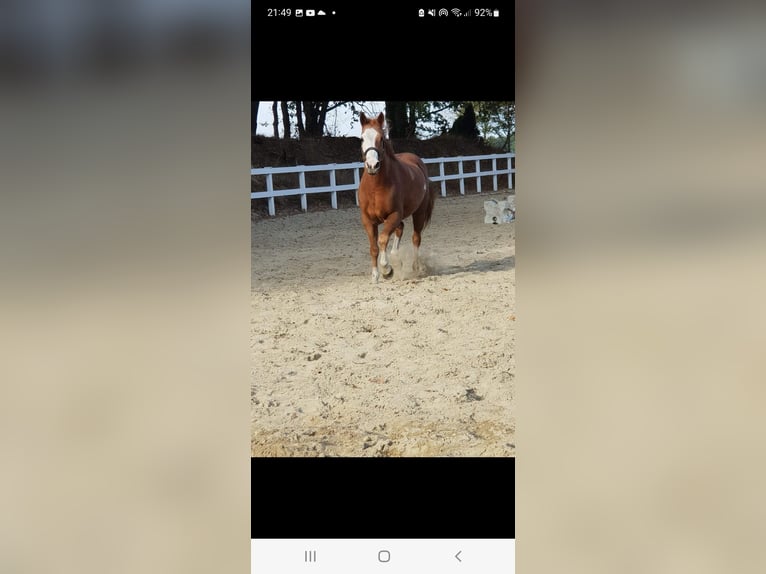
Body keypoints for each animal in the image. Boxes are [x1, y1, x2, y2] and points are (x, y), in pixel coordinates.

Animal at [357, 112, 436, 283]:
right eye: (362, 139)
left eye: (381, 139)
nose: (372, 165)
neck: (376, 187)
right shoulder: (368, 220)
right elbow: (374, 247)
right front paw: (375, 276)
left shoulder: (394, 215)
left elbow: (382, 239)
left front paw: (387, 270)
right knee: (400, 229)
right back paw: (396, 257)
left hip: (418, 213)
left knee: (415, 238)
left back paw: (415, 267)